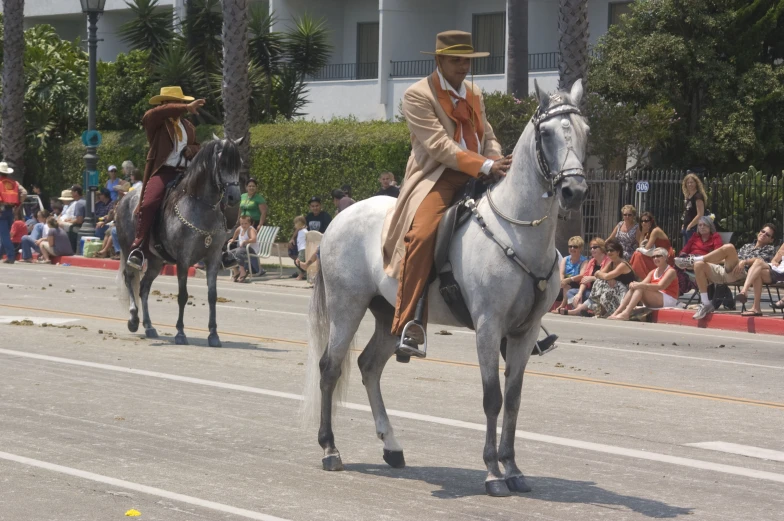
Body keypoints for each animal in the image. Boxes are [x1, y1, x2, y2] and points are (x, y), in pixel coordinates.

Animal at [115, 136, 240, 348]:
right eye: (223, 163)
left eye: (239, 164)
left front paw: (213, 334)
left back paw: (149, 326)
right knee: (130, 278)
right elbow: (182, 296)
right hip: (128, 249)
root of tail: (125, 198)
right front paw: (180, 333)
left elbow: (212, 296)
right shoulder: (183, 259)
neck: (201, 206)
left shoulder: (213, 258)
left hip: (156, 261)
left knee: (144, 287)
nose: (234, 197)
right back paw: (133, 319)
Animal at [300, 79, 588, 494]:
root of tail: (339, 218)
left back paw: (391, 446)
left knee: (369, 366)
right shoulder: (488, 326)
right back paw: (330, 449)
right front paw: (492, 472)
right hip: (346, 308)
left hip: (391, 314)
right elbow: (492, 397)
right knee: (330, 368)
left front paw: (513, 468)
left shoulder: (525, 331)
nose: (573, 191)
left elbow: (514, 399)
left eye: (585, 132)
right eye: (546, 133)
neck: (518, 232)